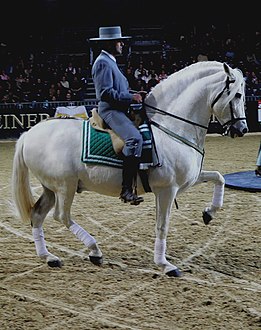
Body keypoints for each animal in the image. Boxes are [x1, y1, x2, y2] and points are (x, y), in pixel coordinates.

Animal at [11, 61, 247, 276]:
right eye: (237, 95)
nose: (242, 129)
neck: (170, 128)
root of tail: (29, 134)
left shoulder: (188, 180)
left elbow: (219, 178)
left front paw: (209, 213)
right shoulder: (167, 189)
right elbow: (162, 225)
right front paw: (165, 264)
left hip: (50, 188)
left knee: (38, 215)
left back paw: (49, 257)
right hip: (64, 187)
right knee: (61, 216)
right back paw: (94, 251)